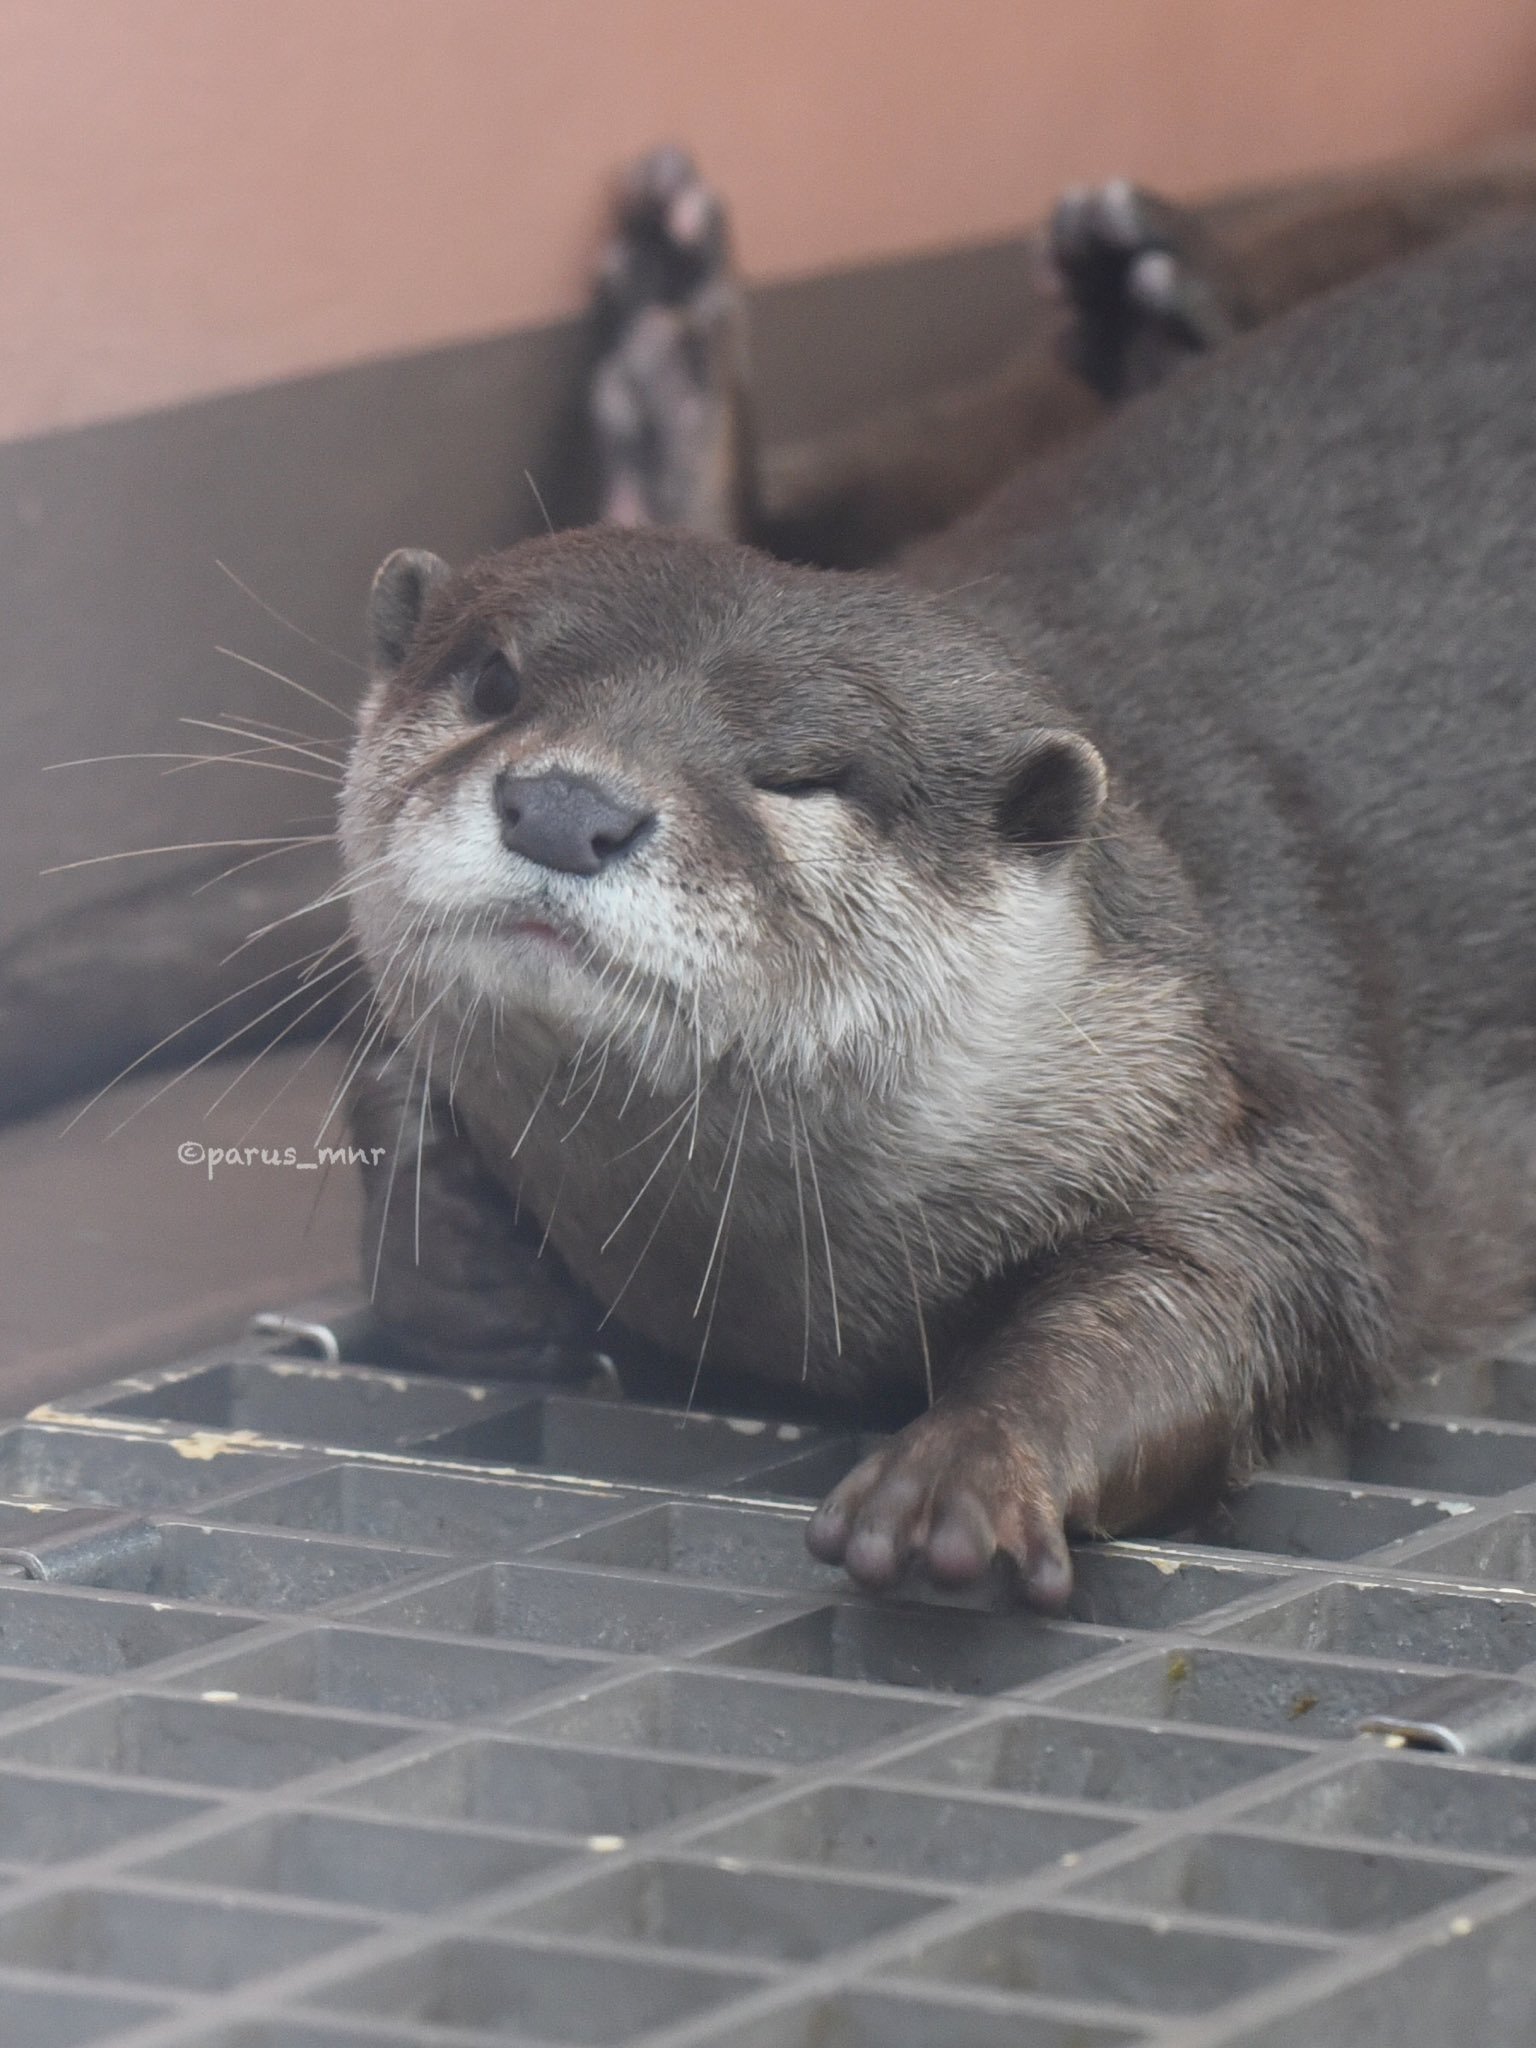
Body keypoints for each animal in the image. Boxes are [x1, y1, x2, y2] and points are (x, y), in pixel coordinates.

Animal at [342, 220, 1531, 1597]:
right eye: (493, 680)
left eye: (802, 774)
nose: (565, 804)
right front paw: (471, 1266)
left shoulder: (1250, 1092)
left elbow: (1244, 1283)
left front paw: (967, 1461)